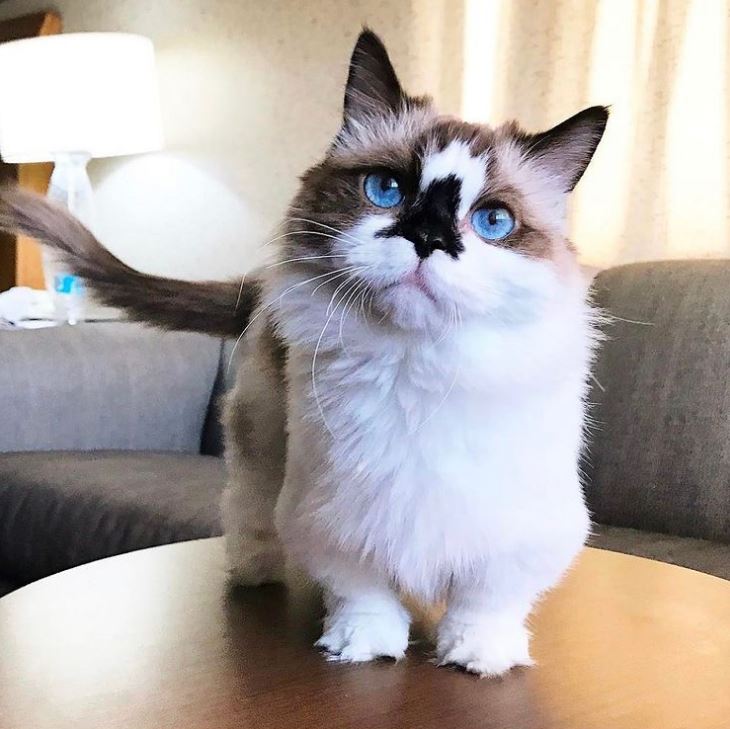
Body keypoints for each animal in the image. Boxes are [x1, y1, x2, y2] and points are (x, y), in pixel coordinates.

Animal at [0, 29, 607, 676]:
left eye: (492, 221)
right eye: (386, 189)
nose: (426, 239)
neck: (417, 368)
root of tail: (259, 285)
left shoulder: (521, 528)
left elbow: (489, 598)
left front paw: (479, 655)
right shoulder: (335, 513)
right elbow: (363, 590)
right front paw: (365, 646)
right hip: (262, 431)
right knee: (247, 507)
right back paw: (254, 573)